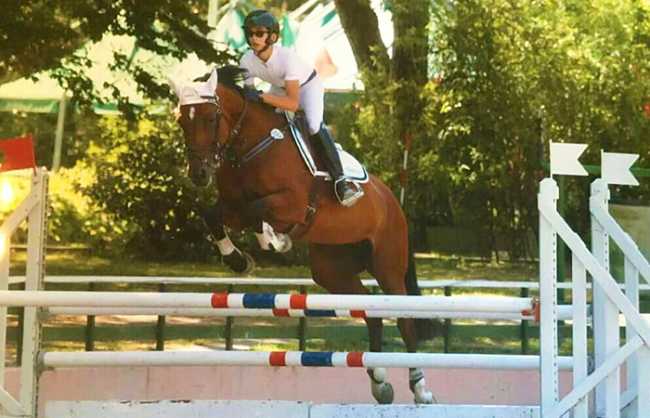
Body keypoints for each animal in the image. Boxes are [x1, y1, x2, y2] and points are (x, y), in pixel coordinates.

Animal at [169, 65, 438, 404]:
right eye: (182, 120)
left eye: (210, 118)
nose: (199, 174)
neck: (248, 146)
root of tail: (392, 201)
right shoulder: (230, 205)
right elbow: (214, 215)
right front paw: (240, 260)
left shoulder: (291, 205)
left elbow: (256, 209)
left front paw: (272, 241)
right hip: (332, 270)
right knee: (371, 313)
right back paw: (379, 380)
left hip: (388, 266)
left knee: (404, 319)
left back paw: (421, 388)